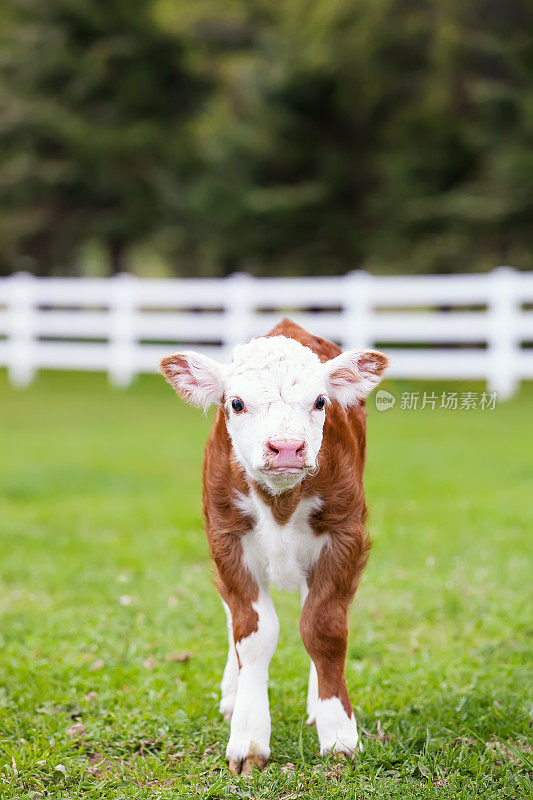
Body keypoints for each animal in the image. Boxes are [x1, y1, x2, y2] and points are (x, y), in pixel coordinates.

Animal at [158, 318, 386, 776]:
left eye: (320, 401)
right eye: (236, 403)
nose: (286, 448)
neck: (280, 501)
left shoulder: (345, 534)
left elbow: (323, 627)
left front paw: (338, 733)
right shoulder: (226, 538)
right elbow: (253, 632)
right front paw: (247, 738)